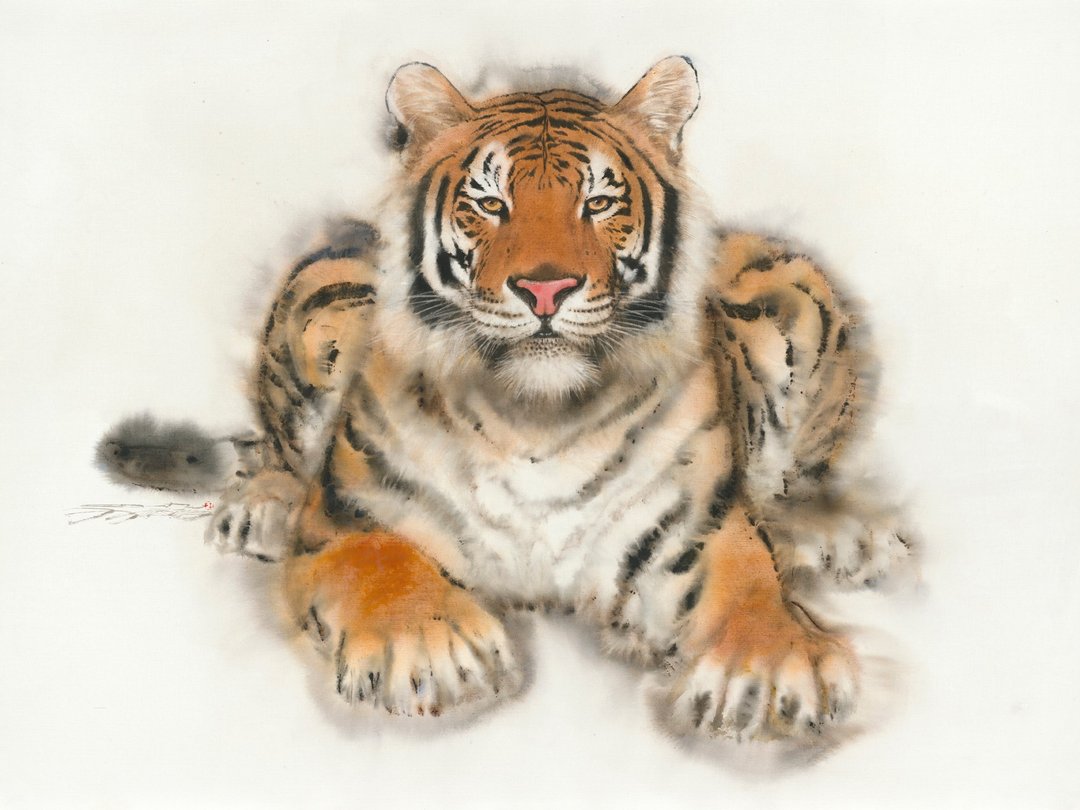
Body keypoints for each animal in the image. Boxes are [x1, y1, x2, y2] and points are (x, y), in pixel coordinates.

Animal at [98, 56, 910, 741]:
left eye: (600, 200)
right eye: (488, 202)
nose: (545, 289)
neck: (538, 417)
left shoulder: (695, 530)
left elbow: (752, 587)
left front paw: (771, 670)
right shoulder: (346, 517)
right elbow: (382, 561)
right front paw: (429, 646)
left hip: (796, 286)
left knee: (789, 485)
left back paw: (841, 536)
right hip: (318, 292)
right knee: (274, 451)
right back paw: (260, 509)